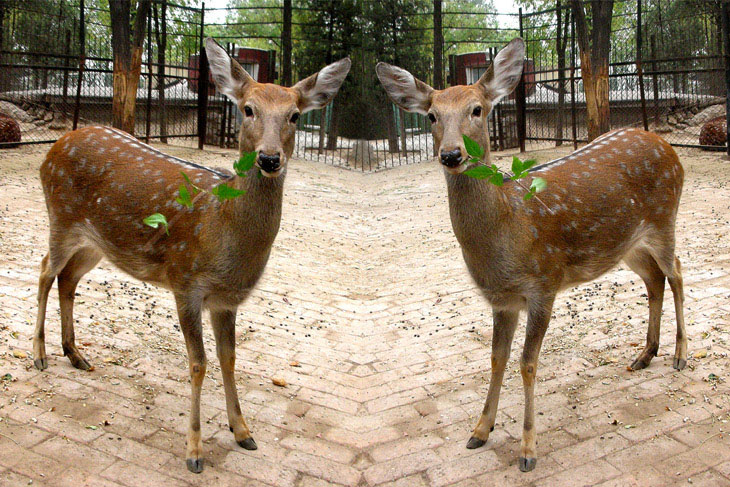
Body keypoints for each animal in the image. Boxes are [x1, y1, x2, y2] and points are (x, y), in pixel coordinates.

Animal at [34, 39, 350, 476]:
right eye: (248, 109)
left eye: (295, 115)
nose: (269, 158)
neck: (224, 232)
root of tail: (53, 149)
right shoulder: (184, 281)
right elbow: (198, 363)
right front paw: (194, 451)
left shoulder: (227, 299)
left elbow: (229, 358)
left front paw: (243, 431)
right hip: (60, 217)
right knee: (45, 271)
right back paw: (40, 356)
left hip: (95, 244)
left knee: (67, 279)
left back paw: (75, 354)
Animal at [372, 38, 684, 472]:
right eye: (432, 115)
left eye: (477, 109)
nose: (451, 155)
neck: (505, 231)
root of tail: (669, 148)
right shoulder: (501, 300)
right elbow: (496, 359)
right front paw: (479, 431)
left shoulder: (544, 284)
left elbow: (527, 363)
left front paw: (528, 450)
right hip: (628, 245)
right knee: (655, 280)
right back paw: (645, 355)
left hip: (664, 219)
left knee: (678, 273)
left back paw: (680, 356)